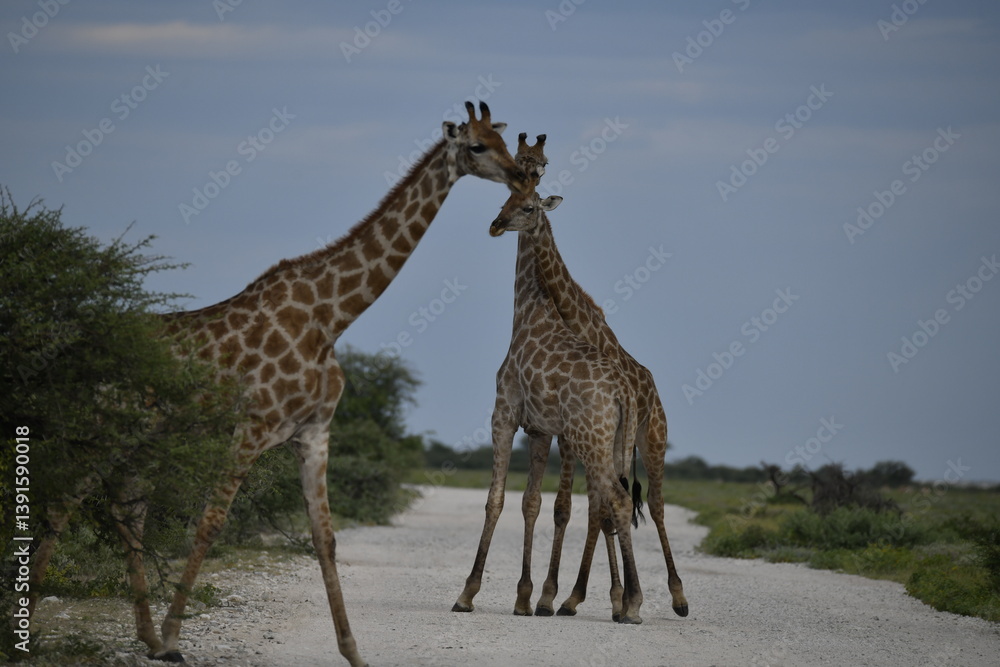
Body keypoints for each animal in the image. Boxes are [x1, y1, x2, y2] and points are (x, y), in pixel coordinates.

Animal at [30, 101, 529, 667]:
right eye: (478, 146)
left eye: (504, 141)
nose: (520, 175)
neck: (330, 318)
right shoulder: (253, 424)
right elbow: (211, 520)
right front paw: (178, 636)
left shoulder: (312, 433)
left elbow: (325, 538)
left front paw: (353, 651)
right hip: (109, 427)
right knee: (64, 501)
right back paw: (35, 625)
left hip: (149, 436)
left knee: (126, 512)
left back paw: (147, 638)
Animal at [451, 141, 646, 625]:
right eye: (504, 197)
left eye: (526, 206)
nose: (495, 225)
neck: (527, 310)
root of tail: (624, 392)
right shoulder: (539, 429)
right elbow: (531, 503)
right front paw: (525, 597)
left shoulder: (503, 414)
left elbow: (496, 499)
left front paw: (468, 592)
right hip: (615, 440)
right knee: (612, 504)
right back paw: (616, 602)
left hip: (591, 439)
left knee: (613, 502)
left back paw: (631, 603)